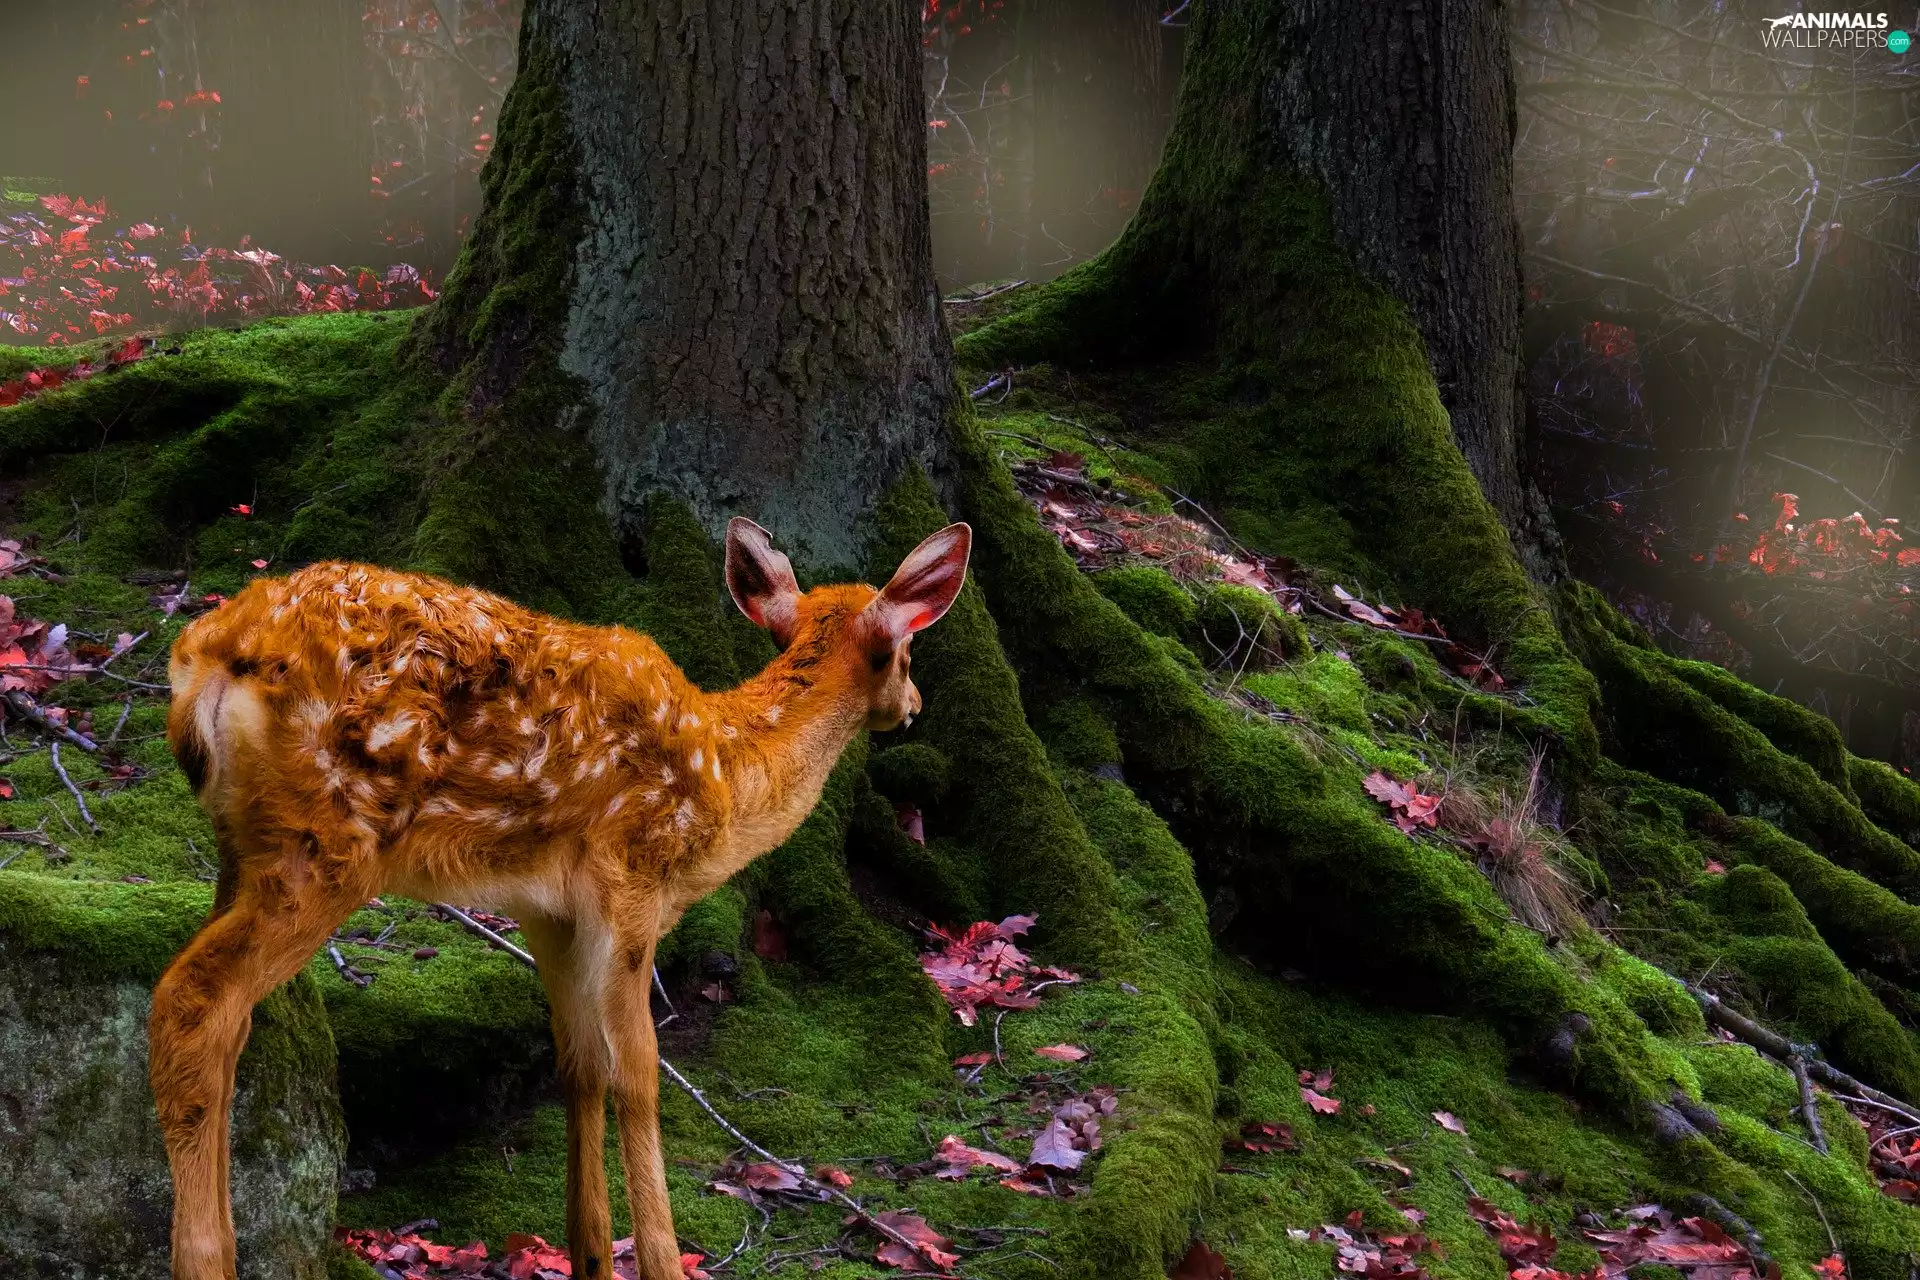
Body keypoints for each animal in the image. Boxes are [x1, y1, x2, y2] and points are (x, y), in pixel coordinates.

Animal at [150, 516, 972, 1280]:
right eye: (906, 649)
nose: (914, 703)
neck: (727, 776)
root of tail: (209, 652)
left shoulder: (547, 910)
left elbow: (579, 1064)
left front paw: (591, 1255)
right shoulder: (634, 878)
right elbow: (638, 1073)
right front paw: (662, 1261)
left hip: (245, 848)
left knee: (226, 1022)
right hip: (327, 842)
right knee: (191, 1002)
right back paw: (204, 1255)